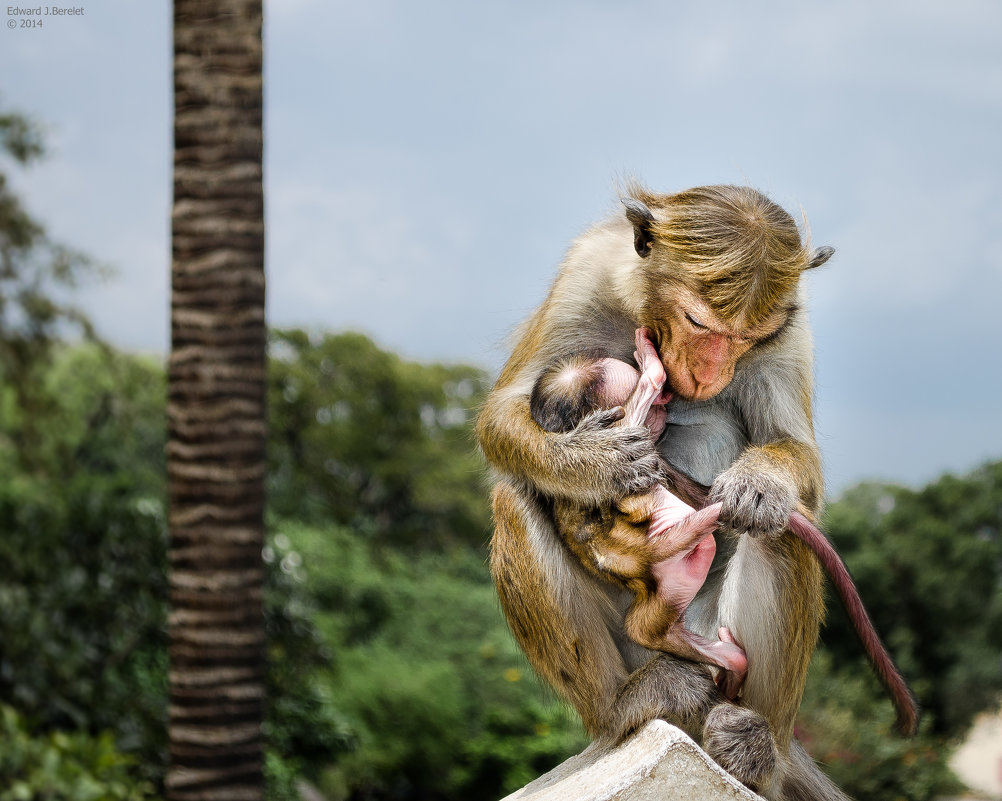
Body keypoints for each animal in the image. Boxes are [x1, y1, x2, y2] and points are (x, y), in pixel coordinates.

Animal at [533, 324, 753, 693]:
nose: (665, 400)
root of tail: (644, 555)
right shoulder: (622, 440)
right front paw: (650, 365)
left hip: (666, 591)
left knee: (644, 630)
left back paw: (731, 661)